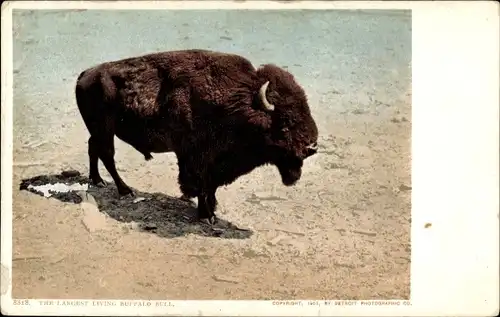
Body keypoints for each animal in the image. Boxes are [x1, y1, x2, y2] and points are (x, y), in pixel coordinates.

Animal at [76, 48, 318, 223]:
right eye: (286, 123)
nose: (311, 147)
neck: (239, 102)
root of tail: (86, 74)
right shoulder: (197, 159)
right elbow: (201, 184)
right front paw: (207, 216)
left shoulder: (216, 163)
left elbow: (211, 186)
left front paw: (213, 210)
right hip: (105, 129)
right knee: (107, 154)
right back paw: (125, 191)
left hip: (98, 130)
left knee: (93, 148)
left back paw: (97, 181)